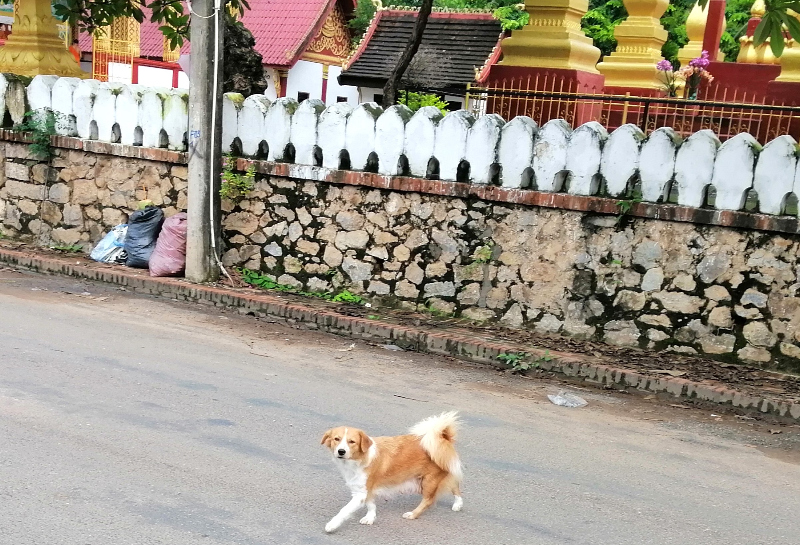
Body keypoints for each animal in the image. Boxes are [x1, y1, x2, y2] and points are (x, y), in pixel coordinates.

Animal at [318, 412, 462, 532]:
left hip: (429, 481)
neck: (360, 458)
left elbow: (344, 510)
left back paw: (413, 514)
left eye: (352, 442)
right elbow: (371, 504)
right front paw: (370, 517)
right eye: (336, 439)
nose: (341, 451)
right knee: (455, 485)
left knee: (428, 500)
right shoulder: (366, 489)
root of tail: (444, 438)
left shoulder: (360, 494)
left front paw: (332, 524)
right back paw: (458, 504)